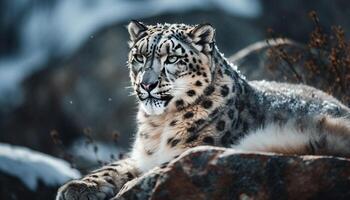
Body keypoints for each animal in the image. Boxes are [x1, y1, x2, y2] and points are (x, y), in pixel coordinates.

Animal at [56, 21, 350, 199]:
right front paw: (77, 187)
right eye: (139, 57)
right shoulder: (139, 155)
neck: (158, 126)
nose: (146, 84)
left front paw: (132, 186)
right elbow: (114, 167)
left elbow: (161, 167)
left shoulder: (193, 148)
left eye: (172, 58)